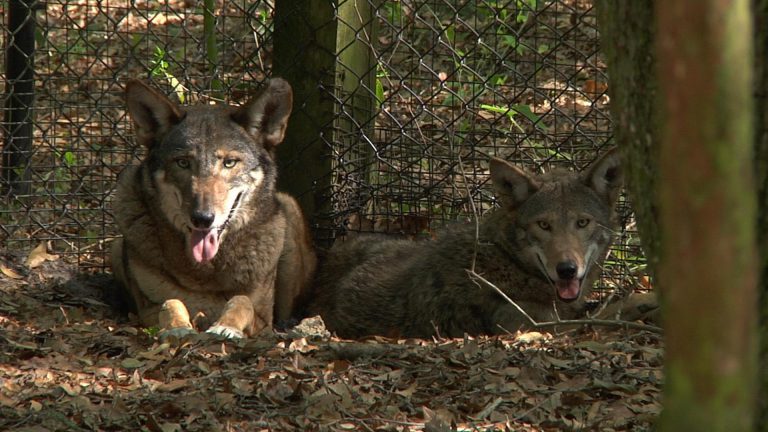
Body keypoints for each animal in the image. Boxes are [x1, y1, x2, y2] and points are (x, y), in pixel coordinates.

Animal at [110, 78, 316, 339]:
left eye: (229, 163)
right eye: (183, 163)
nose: (202, 218)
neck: (205, 271)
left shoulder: (263, 321)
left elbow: (241, 301)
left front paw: (226, 326)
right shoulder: (145, 310)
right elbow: (171, 302)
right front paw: (178, 327)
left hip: (289, 213)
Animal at [311, 149, 655, 338]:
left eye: (582, 223)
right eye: (544, 225)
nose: (567, 270)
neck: (508, 260)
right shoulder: (538, 328)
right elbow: (607, 315)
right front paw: (644, 302)